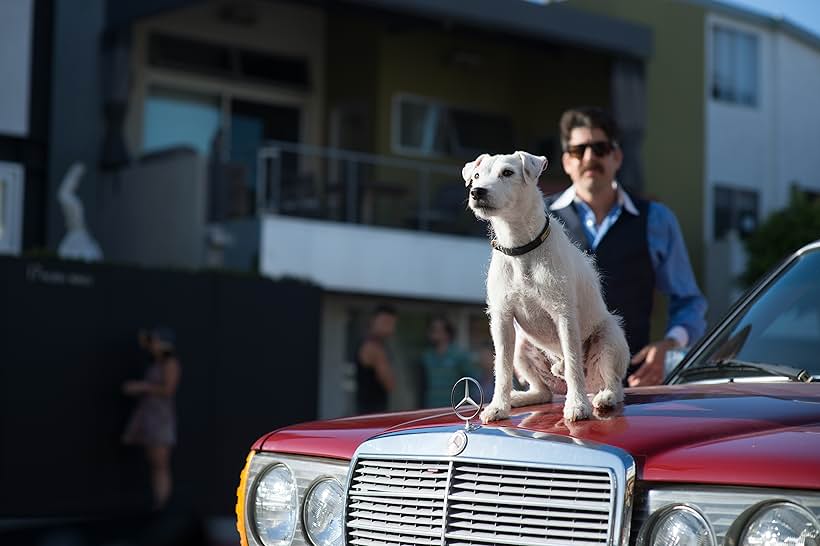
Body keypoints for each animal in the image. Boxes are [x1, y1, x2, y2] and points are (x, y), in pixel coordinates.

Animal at [464, 151, 632, 422]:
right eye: (477, 175)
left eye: (507, 173)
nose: (477, 191)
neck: (521, 248)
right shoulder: (502, 319)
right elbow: (502, 367)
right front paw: (499, 406)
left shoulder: (563, 315)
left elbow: (574, 362)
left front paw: (577, 405)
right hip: (522, 348)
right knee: (543, 392)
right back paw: (520, 398)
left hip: (608, 339)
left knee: (614, 384)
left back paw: (602, 398)